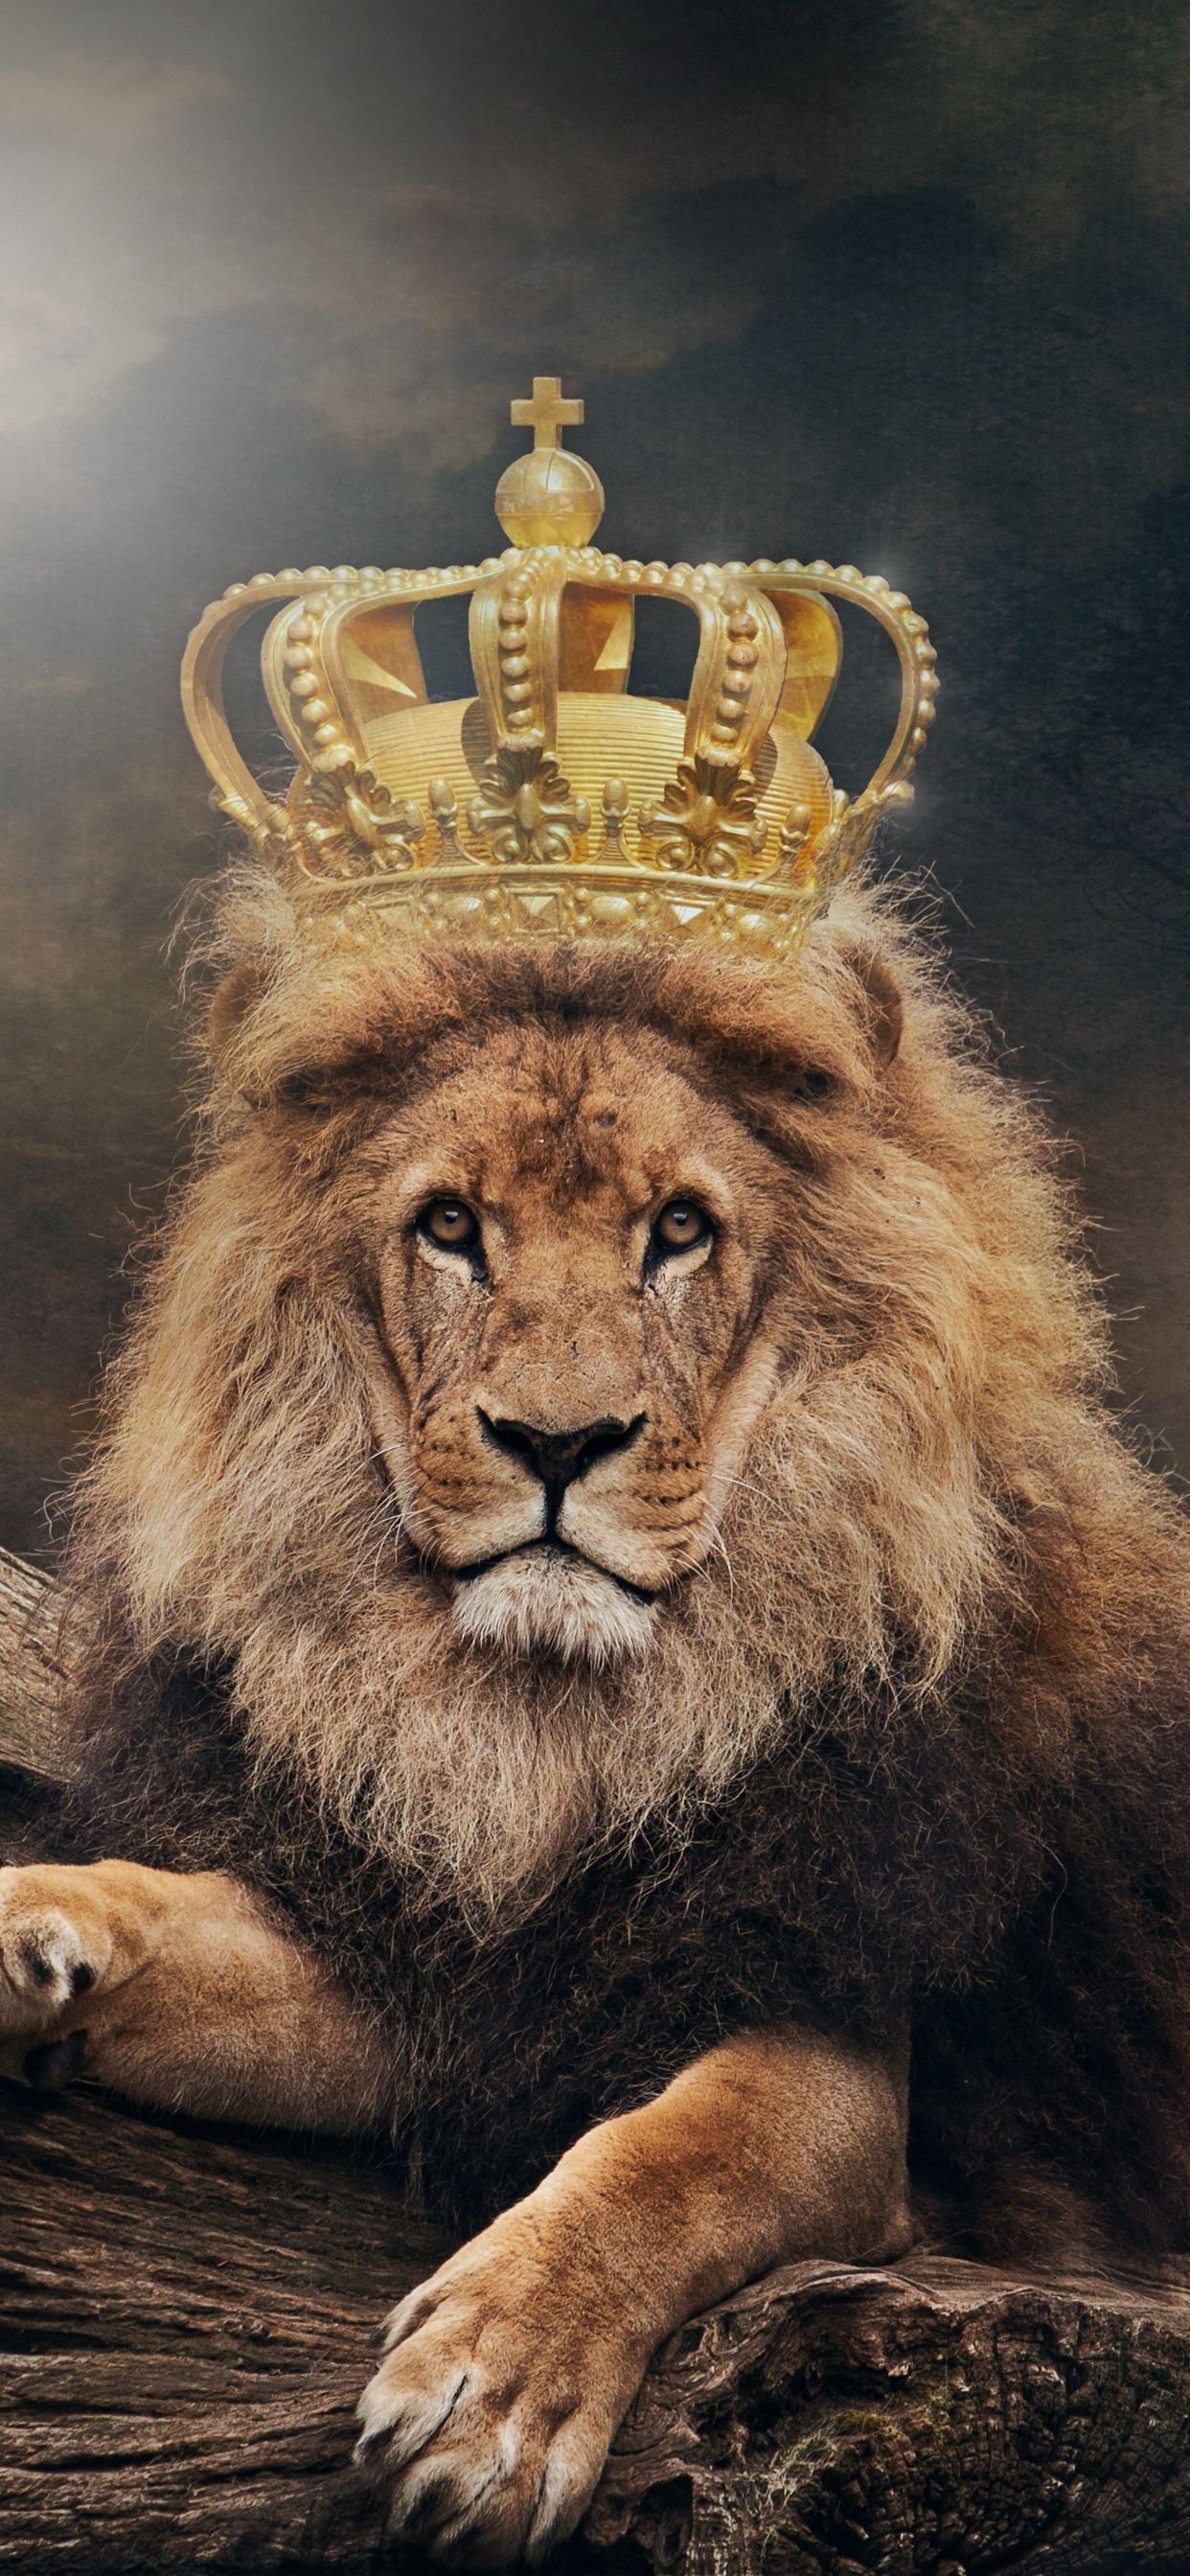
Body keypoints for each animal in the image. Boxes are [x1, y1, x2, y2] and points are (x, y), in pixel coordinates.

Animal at [2, 867, 1189, 2566]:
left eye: (677, 1231)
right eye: (450, 1227)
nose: (558, 1445)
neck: (552, 1740)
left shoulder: (833, 2041)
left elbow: (674, 2159)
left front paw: (492, 2394)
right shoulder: (444, 1966)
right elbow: (183, 1919)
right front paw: (37, 1924)